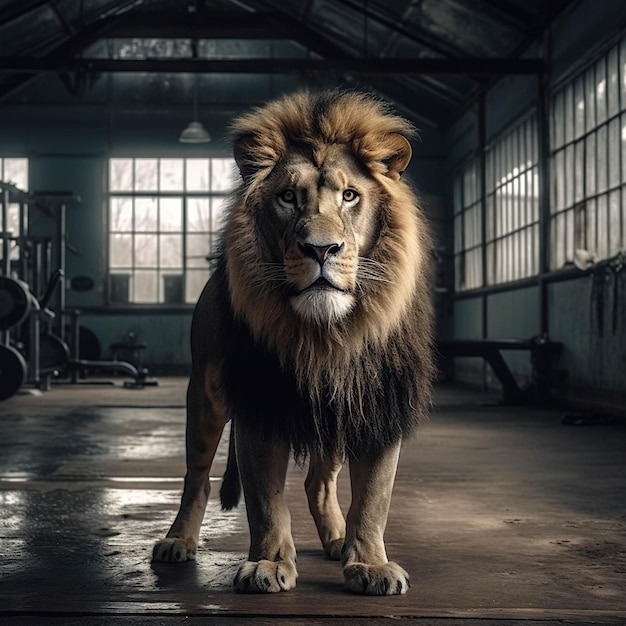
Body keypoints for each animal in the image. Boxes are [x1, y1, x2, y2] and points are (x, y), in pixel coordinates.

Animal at [153, 89, 432, 596]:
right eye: (287, 197)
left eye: (349, 196)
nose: (321, 250)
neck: (325, 335)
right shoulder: (259, 401)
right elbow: (265, 500)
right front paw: (267, 564)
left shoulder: (377, 403)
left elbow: (374, 499)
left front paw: (370, 564)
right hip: (206, 396)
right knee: (196, 475)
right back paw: (177, 541)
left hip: (337, 416)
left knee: (318, 483)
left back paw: (338, 540)